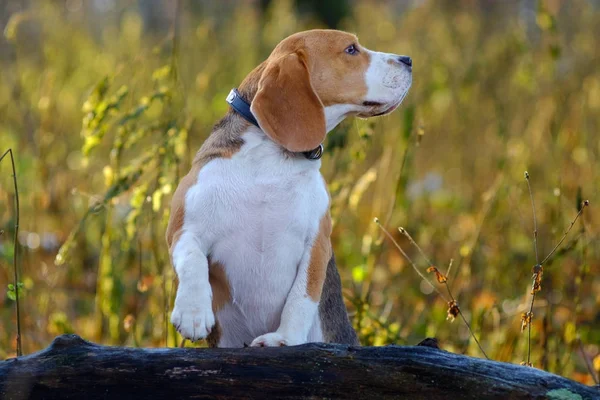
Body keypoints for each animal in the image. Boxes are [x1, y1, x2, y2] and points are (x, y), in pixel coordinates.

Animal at [165, 29, 412, 346]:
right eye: (351, 49)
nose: (408, 60)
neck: (270, 161)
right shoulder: (183, 228)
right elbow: (192, 260)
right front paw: (193, 313)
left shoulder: (316, 244)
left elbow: (301, 298)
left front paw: (283, 339)